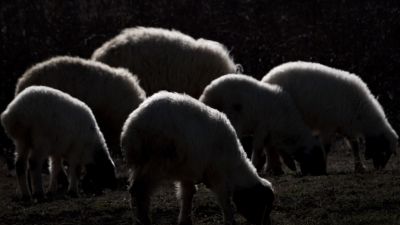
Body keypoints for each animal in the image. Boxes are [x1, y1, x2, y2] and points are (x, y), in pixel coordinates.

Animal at [120, 91, 274, 225]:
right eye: (261, 204)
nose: (266, 224)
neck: (233, 165)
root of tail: (132, 125)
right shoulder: (217, 173)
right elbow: (224, 198)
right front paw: (230, 220)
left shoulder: (188, 171)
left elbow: (187, 194)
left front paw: (185, 220)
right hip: (155, 162)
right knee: (140, 190)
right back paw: (144, 220)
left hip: (141, 164)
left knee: (134, 189)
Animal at [198, 74, 326, 176]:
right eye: (317, 157)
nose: (323, 172)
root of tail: (208, 92)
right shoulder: (262, 128)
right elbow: (259, 147)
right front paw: (256, 166)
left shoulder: (272, 133)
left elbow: (271, 149)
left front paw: (278, 168)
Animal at [260, 61, 398, 172]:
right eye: (384, 151)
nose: (379, 168)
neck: (360, 112)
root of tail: (266, 79)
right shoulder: (328, 126)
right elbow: (327, 147)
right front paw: (323, 167)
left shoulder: (346, 126)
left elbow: (355, 146)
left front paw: (360, 167)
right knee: (271, 145)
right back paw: (275, 167)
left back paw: (275, 167)